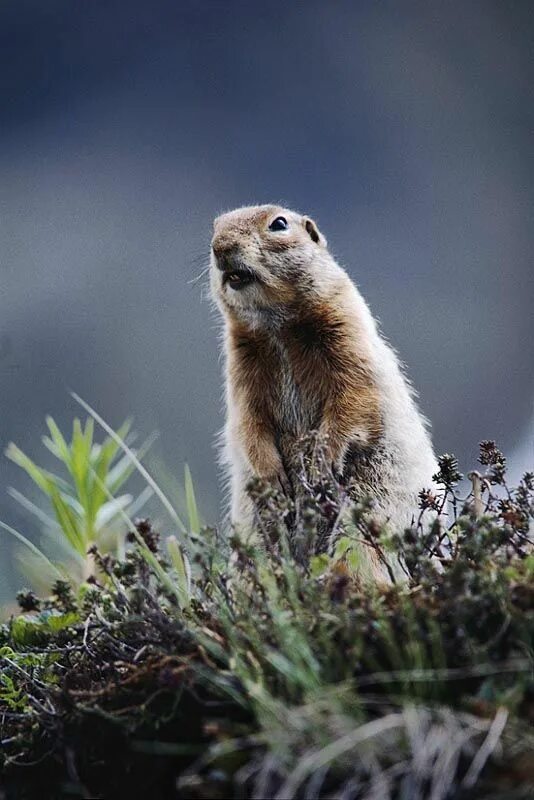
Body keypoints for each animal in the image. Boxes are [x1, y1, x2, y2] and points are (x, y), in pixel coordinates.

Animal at [210, 203, 440, 540]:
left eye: (278, 223)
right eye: (214, 227)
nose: (220, 246)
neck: (277, 328)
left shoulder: (347, 333)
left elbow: (355, 395)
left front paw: (323, 461)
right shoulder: (240, 365)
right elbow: (247, 419)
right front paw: (271, 476)